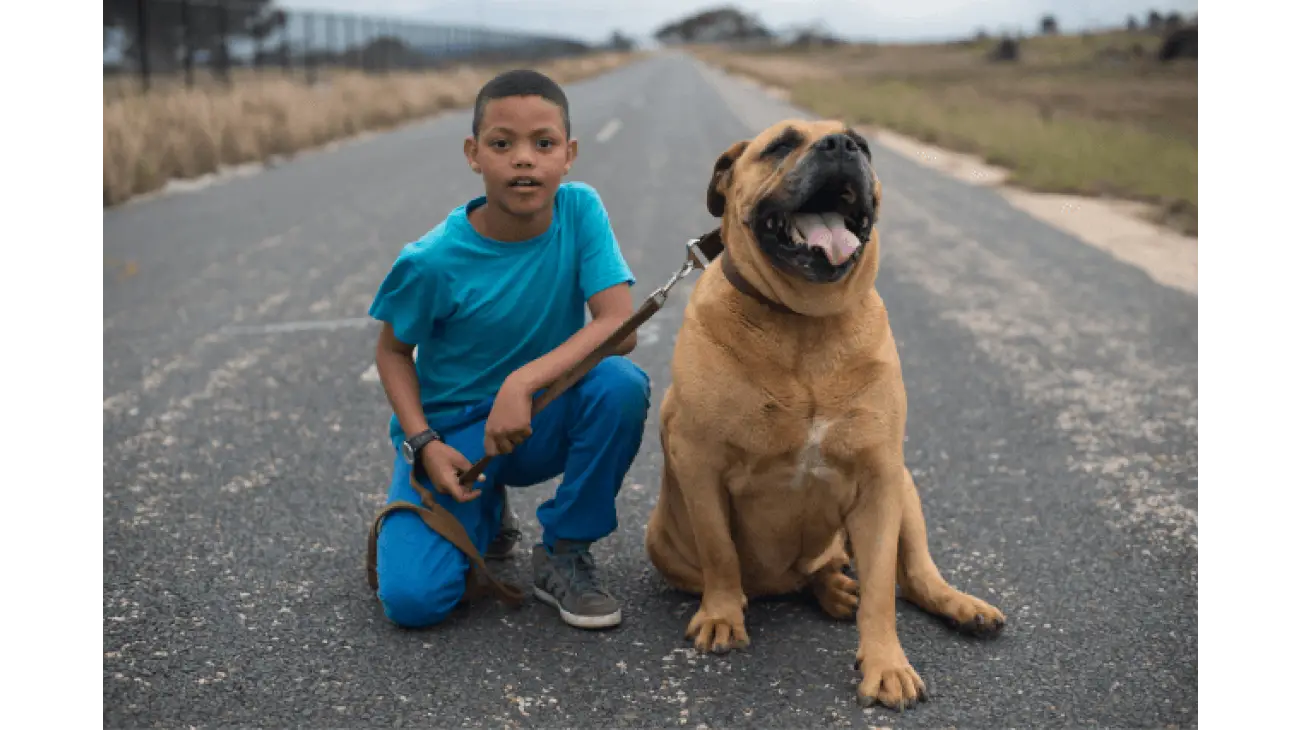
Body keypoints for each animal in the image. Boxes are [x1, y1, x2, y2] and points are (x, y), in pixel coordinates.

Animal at [647, 120, 1003, 711]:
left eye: (864, 144)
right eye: (780, 145)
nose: (842, 146)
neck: (805, 323)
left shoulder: (880, 480)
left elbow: (882, 590)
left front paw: (886, 665)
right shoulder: (699, 462)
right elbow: (720, 550)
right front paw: (721, 616)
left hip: (905, 486)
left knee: (914, 575)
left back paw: (954, 605)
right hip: (664, 542)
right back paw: (822, 588)